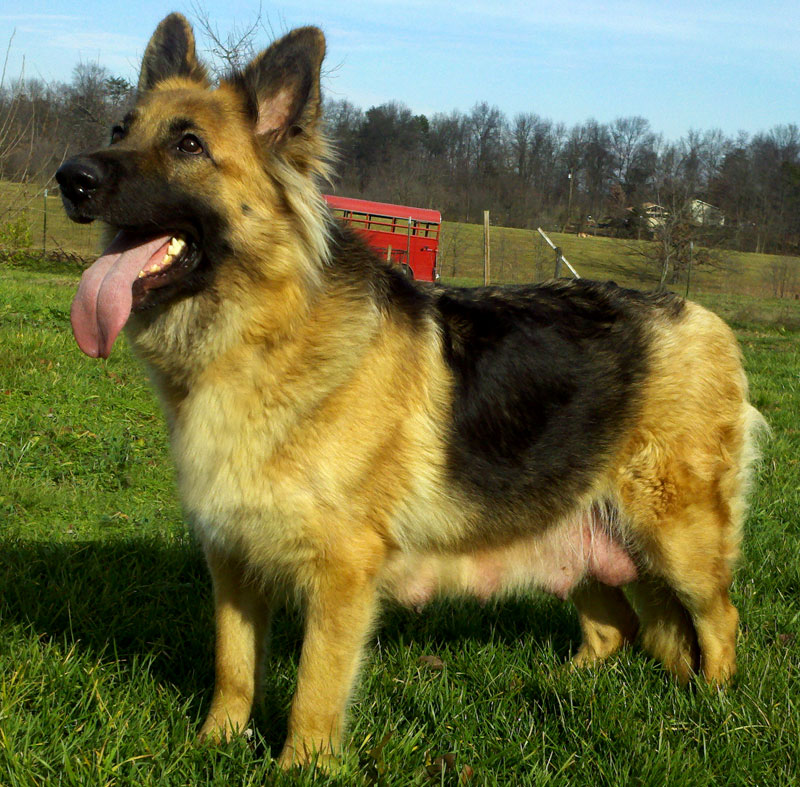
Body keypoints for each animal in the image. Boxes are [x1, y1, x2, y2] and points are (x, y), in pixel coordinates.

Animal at [54, 13, 764, 768]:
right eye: (119, 128)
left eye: (188, 145)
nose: (69, 178)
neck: (264, 330)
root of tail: (704, 318)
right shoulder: (233, 561)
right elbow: (234, 665)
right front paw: (215, 744)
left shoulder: (340, 572)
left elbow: (314, 687)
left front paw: (301, 766)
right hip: (581, 532)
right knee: (617, 629)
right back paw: (564, 690)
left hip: (680, 542)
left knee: (720, 620)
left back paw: (712, 707)